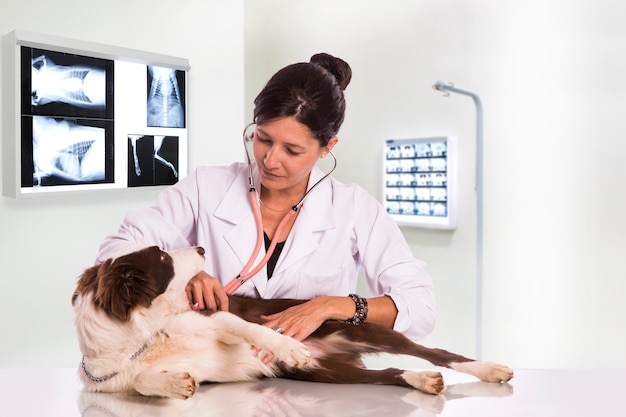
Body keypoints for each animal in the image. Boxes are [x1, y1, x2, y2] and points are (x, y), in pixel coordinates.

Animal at [73, 245, 512, 398]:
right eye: (164, 257)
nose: (199, 248)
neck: (146, 336)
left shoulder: (216, 319)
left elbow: (253, 328)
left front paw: (287, 343)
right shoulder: (112, 377)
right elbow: (141, 381)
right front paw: (174, 383)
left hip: (364, 329)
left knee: (438, 352)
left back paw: (491, 369)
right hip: (330, 374)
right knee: (390, 372)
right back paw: (420, 380)